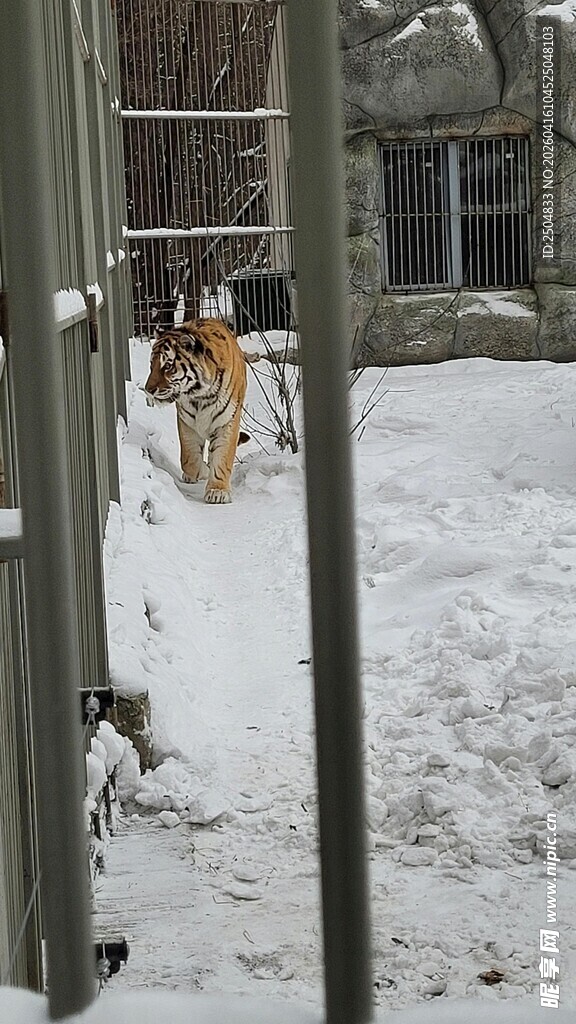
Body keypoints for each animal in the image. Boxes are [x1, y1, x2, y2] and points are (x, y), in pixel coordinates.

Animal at [144, 318, 248, 504]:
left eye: (167, 366)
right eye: (151, 365)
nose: (148, 390)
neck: (201, 395)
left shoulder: (227, 422)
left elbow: (222, 457)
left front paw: (217, 491)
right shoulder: (187, 423)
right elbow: (190, 458)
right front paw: (201, 472)